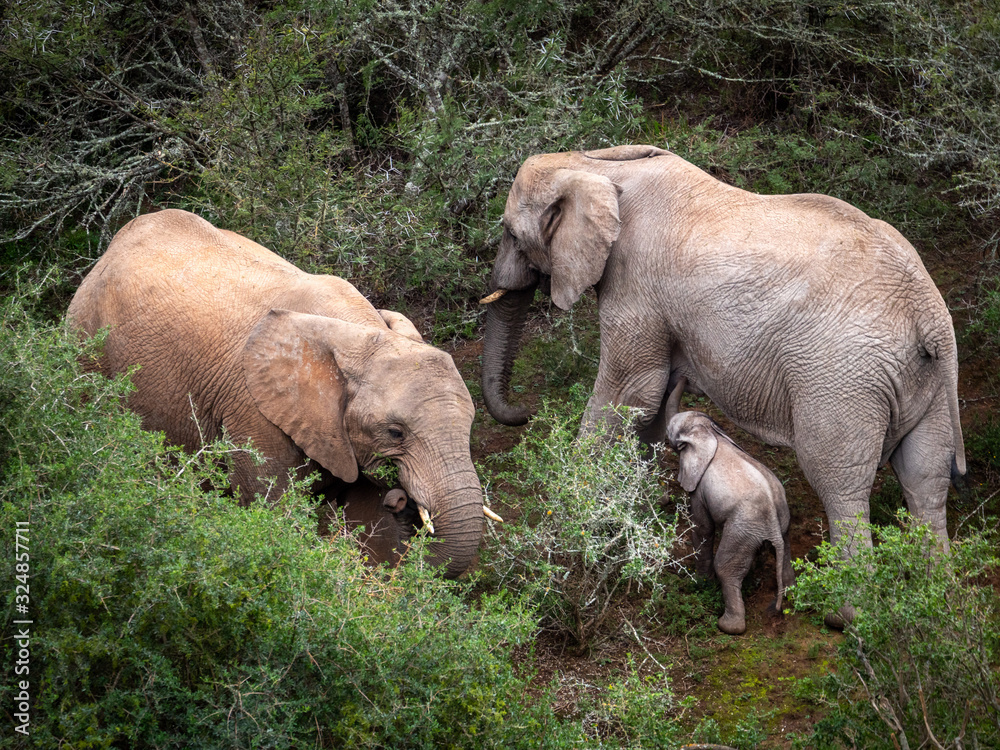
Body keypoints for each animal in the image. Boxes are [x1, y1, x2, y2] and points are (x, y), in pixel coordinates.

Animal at [68, 208, 486, 578]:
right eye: (395, 432)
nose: (401, 498)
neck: (364, 335)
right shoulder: (253, 410)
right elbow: (275, 510)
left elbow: (361, 514)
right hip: (87, 344)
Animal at [481, 145, 965, 595]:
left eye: (510, 233)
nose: (525, 411)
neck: (592, 163)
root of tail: (928, 312)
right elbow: (650, 405)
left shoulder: (634, 284)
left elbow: (630, 393)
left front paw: (568, 511)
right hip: (928, 379)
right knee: (925, 478)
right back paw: (937, 596)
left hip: (841, 378)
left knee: (841, 483)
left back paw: (847, 610)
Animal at [665, 379, 793, 635]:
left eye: (673, 440)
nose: (686, 379)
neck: (711, 432)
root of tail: (773, 525)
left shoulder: (699, 487)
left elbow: (703, 527)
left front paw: (701, 582)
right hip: (780, 522)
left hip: (742, 528)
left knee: (725, 566)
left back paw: (728, 626)